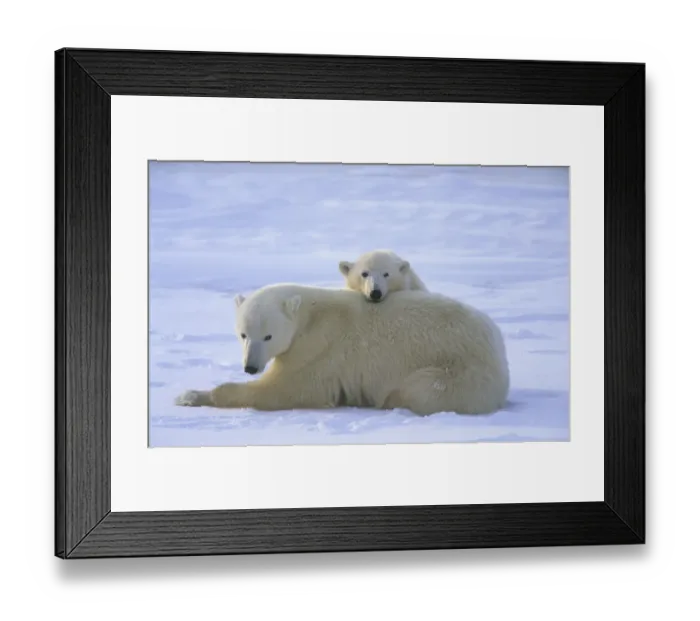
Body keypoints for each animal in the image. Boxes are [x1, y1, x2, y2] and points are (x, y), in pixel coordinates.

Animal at [175, 283, 510, 416]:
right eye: (243, 334)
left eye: (268, 336)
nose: (250, 367)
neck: (309, 316)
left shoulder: (319, 348)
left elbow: (285, 390)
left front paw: (189, 395)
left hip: (459, 370)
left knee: (421, 389)